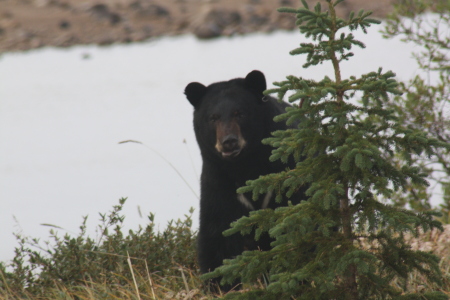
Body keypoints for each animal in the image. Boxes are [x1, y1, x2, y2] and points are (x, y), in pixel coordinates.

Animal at [184, 70, 306, 290]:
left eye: (239, 113)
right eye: (213, 117)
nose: (229, 142)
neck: (245, 168)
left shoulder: (286, 177)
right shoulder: (218, 184)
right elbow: (218, 235)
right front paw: (219, 285)